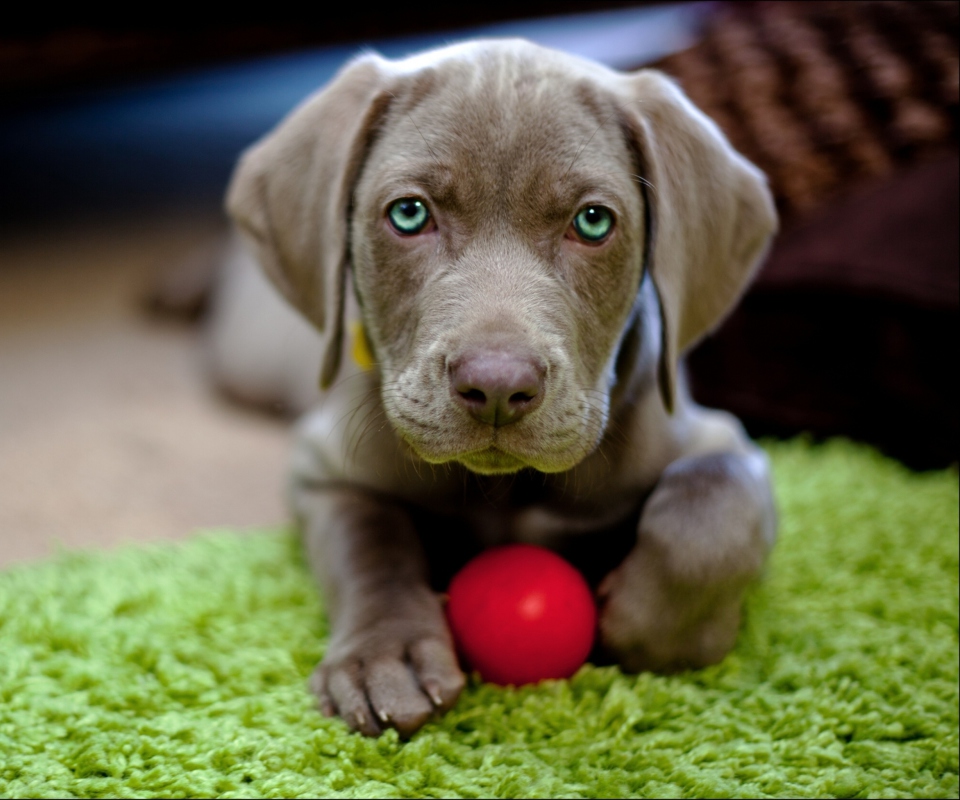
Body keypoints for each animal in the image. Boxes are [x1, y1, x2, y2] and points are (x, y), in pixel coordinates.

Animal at [218, 37, 780, 736]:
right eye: (409, 213)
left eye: (593, 222)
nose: (496, 388)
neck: (507, 489)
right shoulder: (322, 470)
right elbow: (368, 540)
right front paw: (384, 658)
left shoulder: (719, 440)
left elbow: (709, 514)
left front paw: (655, 627)